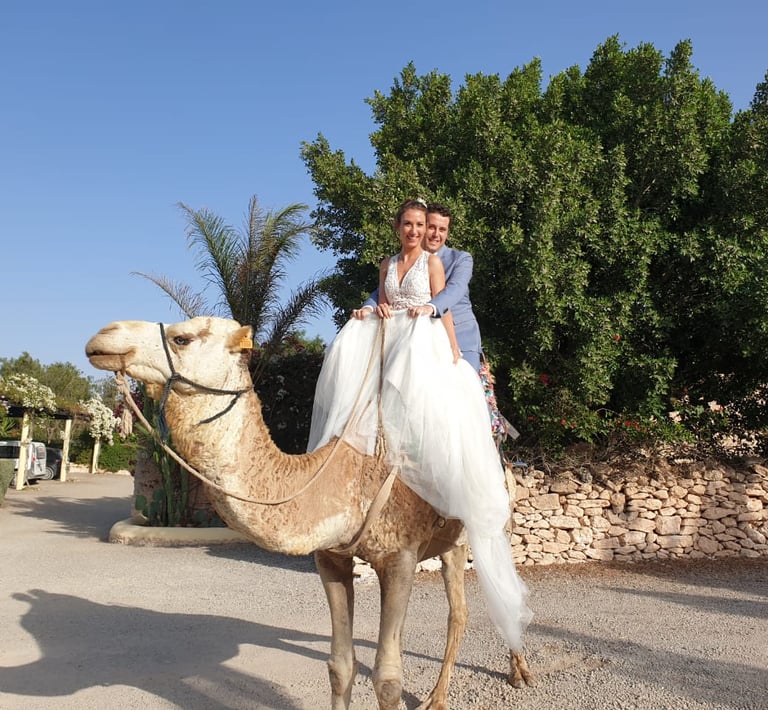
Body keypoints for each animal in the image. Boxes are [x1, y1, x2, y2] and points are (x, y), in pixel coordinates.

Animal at [85, 316, 532, 709]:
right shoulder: (330, 557)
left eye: (183, 338)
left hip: (488, 527)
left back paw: (498, 678)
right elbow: (340, 666)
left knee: (484, 599)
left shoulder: (399, 558)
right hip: (451, 541)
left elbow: (387, 679)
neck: (341, 479)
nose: (102, 336)